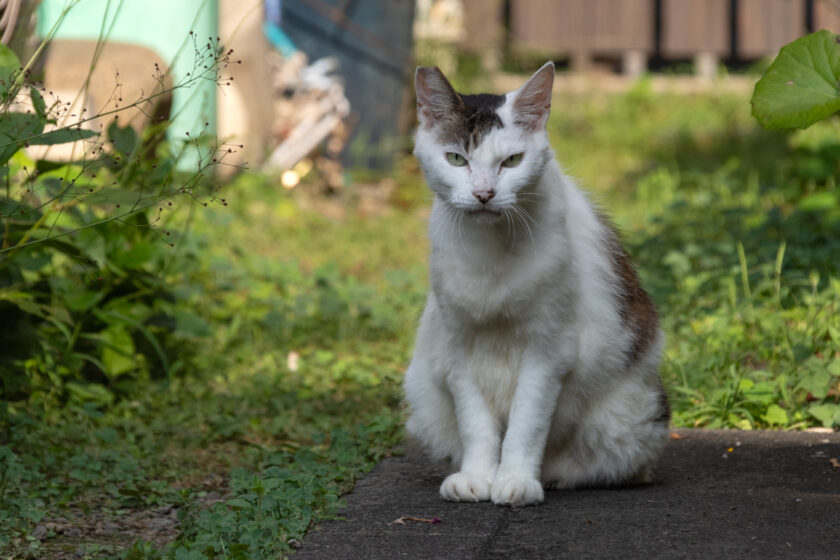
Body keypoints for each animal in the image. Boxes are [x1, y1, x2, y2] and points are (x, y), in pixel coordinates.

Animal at [404, 62, 672, 508]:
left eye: (512, 161)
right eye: (456, 159)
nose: (483, 194)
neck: (490, 252)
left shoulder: (548, 351)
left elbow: (526, 426)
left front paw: (515, 481)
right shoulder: (459, 349)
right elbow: (476, 425)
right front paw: (477, 477)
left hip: (627, 419)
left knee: (622, 467)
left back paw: (557, 476)